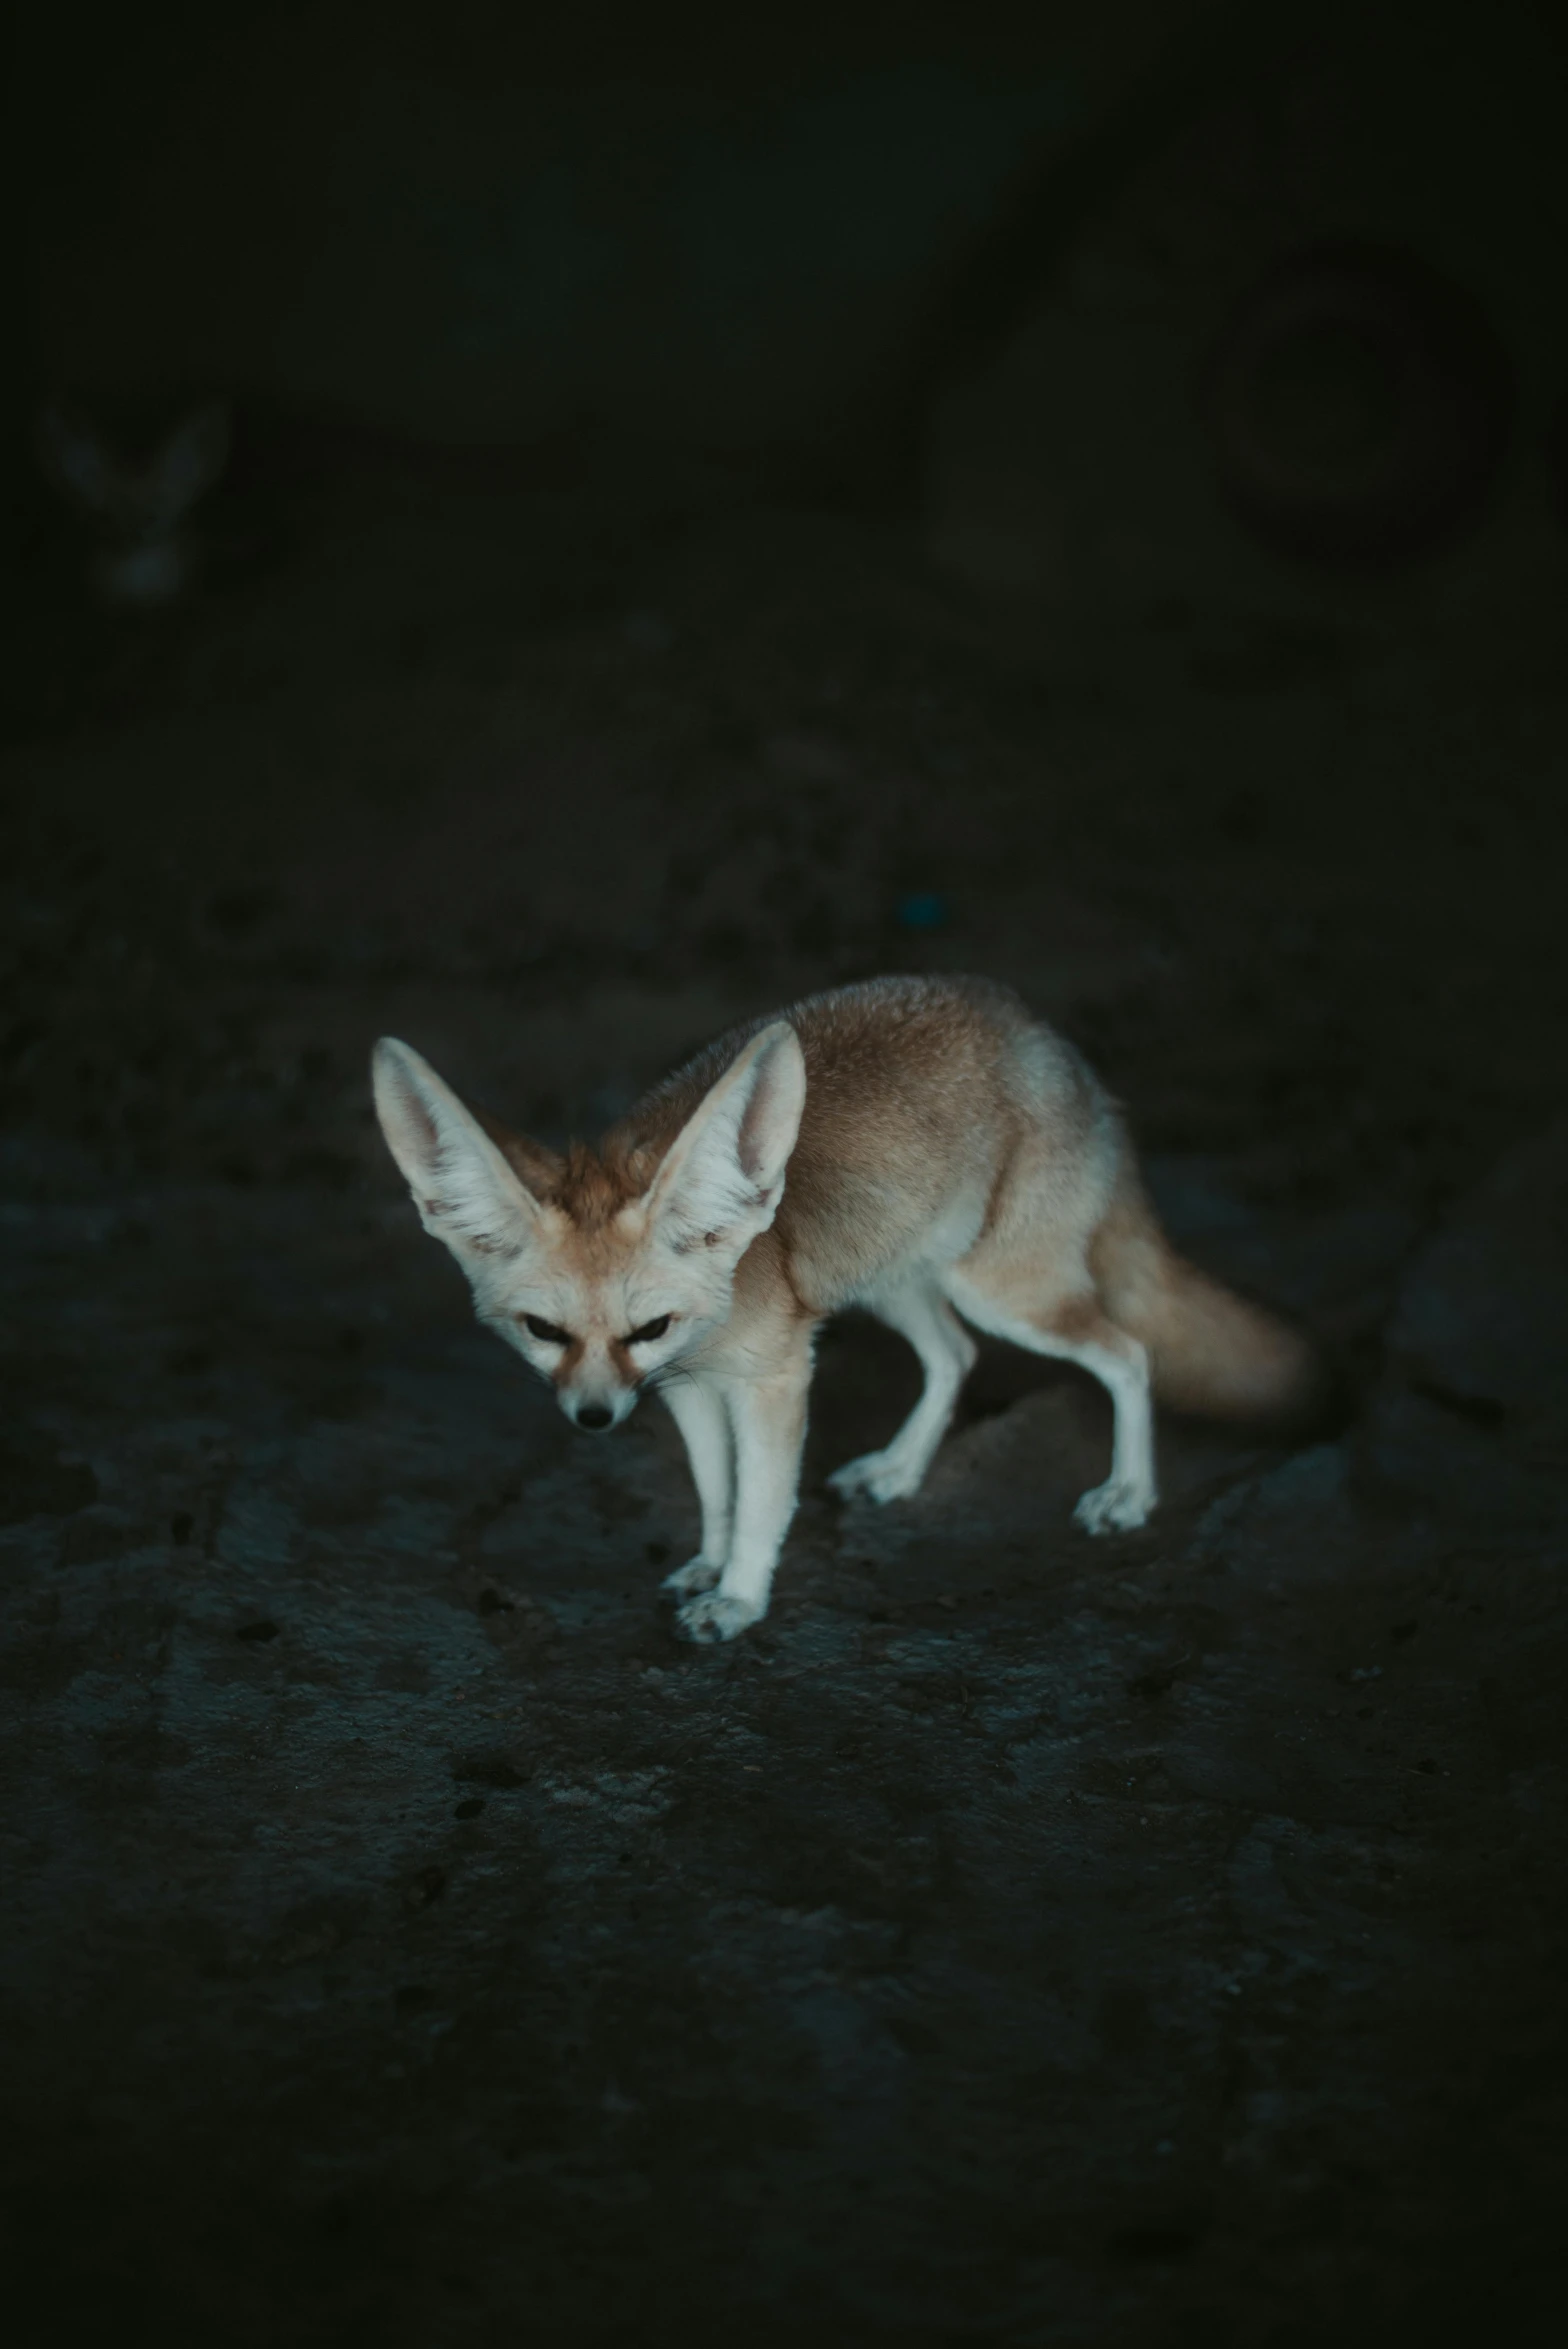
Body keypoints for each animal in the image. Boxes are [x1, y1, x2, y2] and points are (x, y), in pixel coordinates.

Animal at [373, 981, 1314, 1644]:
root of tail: (1055, 1048)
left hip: (1004, 1292)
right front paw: (709, 1563)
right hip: (898, 1282)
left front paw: (740, 1597)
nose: (593, 1418)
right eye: (544, 1332)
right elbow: (716, 1491)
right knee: (956, 1357)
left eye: (649, 1327)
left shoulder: (773, 1378)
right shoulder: (688, 1387)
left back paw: (1129, 1492)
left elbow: (761, 1500)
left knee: (1129, 1354)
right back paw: (899, 1469)